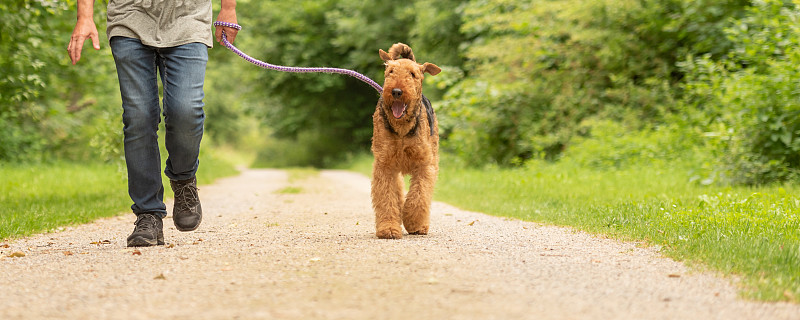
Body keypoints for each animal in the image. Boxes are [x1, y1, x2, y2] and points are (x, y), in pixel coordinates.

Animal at [370, 42, 440, 239]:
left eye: (413, 74)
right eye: (390, 71)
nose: (396, 91)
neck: (402, 129)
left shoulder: (424, 164)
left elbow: (418, 195)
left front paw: (414, 222)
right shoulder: (384, 165)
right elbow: (387, 197)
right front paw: (389, 228)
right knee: (398, 192)